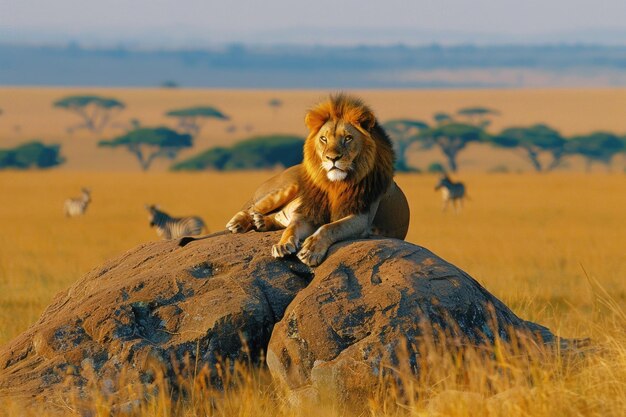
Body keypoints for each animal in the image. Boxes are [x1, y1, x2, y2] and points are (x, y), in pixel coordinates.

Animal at [224, 92, 410, 264]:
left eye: (348, 138)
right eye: (323, 138)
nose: (332, 158)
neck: (335, 184)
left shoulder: (361, 217)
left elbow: (330, 227)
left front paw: (310, 251)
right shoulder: (310, 212)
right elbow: (292, 228)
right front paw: (283, 245)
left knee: (277, 216)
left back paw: (261, 222)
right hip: (290, 185)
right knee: (254, 208)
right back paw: (240, 222)